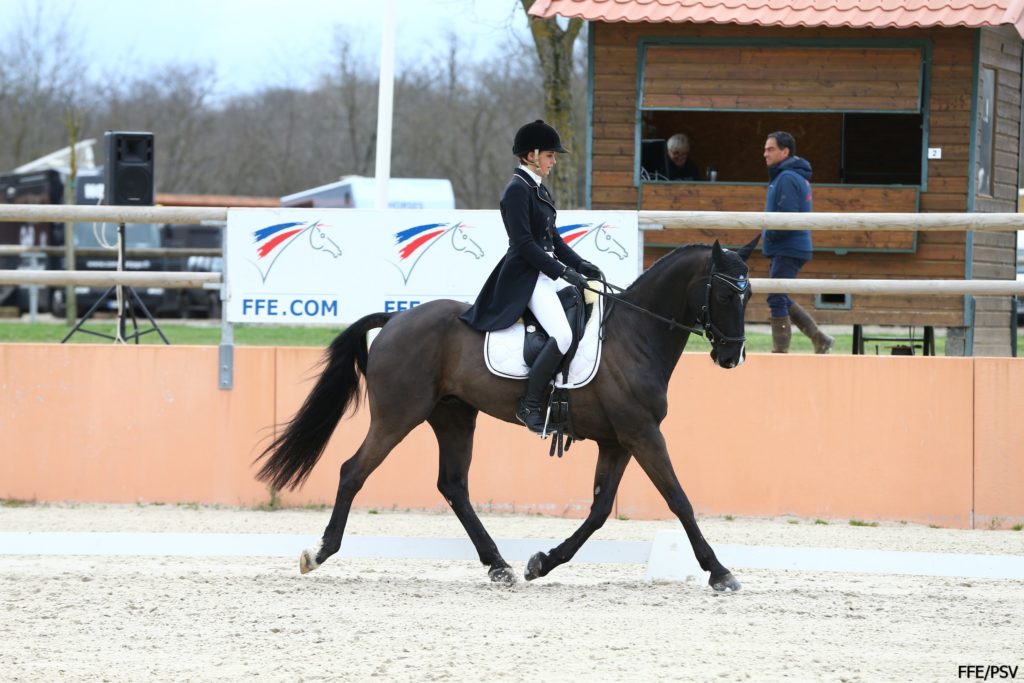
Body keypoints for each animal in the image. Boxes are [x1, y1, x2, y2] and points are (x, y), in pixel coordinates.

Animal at [258, 239, 761, 593]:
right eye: (724, 294)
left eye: (749, 293)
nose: (732, 357)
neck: (635, 335)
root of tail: (395, 320)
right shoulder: (642, 434)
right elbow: (679, 499)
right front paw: (720, 572)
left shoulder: (618, 440)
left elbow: (600, 511)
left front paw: (542, 563)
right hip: (398, 416)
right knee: (353, 471)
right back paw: (319, 553)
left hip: (454, 417)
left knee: (453, 486)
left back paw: (499, 566)